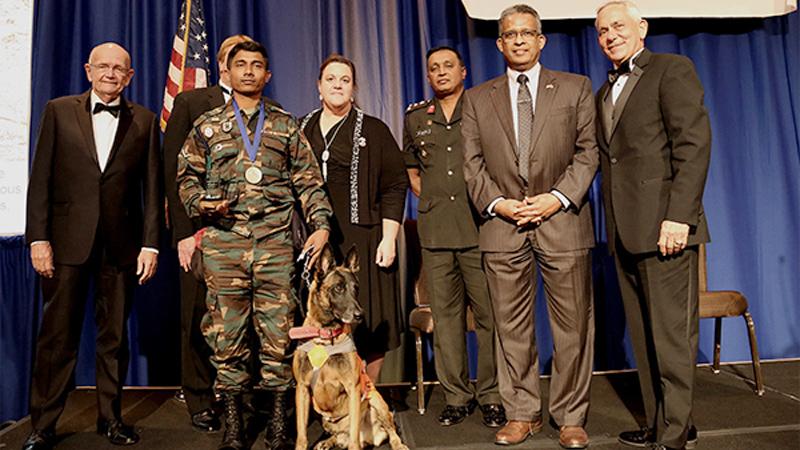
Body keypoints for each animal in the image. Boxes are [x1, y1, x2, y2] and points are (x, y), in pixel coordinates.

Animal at [292, 246, 406, 450]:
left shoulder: (353, 388)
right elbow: (302, 435)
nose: (360, 315)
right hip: (326, 420)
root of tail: (370, 438)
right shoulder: (302, 389)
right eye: (338, 288)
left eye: (356, 288)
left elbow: (353, 434)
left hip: (375, 399)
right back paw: (327, 442)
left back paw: (398, 444)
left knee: (390, 430)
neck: (325, 336)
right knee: (339, 435)